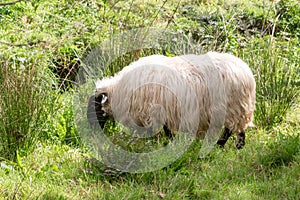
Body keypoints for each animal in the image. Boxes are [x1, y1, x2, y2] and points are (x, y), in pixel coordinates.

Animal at [86, 51, 255, 148]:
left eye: (95, 107)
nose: (92, 132)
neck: (119, 90)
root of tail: (245, 70)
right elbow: (166, 129)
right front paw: (170, 141)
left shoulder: (152, 112)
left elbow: (159, 130)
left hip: (235, 107)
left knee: (233, 129)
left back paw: (228, 146)